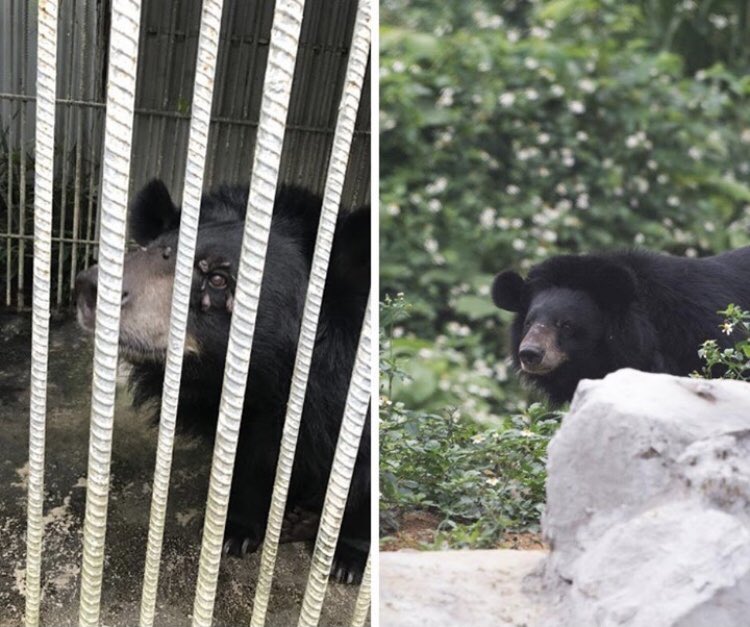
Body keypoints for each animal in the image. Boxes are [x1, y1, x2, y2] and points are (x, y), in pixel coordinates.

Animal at [75, 179, 370, 584]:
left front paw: (347, 560)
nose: (89, 289)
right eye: (148, 250)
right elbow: (249, 460)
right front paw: (236, 532)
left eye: (217, 279)